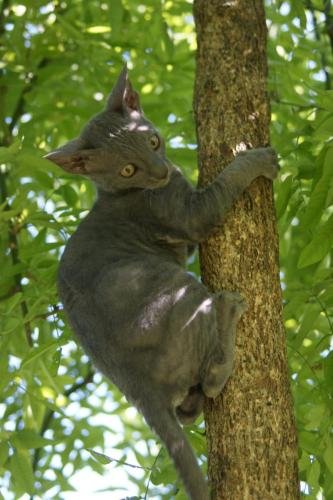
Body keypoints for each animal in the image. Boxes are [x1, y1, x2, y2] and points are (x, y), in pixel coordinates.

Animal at [46, 66, 278, 500]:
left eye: (152, 141)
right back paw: (227, 312)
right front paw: (256, 158)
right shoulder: (190, 214)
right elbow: (226, 184)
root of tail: (135, 386)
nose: (159, 171)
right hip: (179, 287)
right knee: (214, 375)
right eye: (127, 170)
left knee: (186, 412)